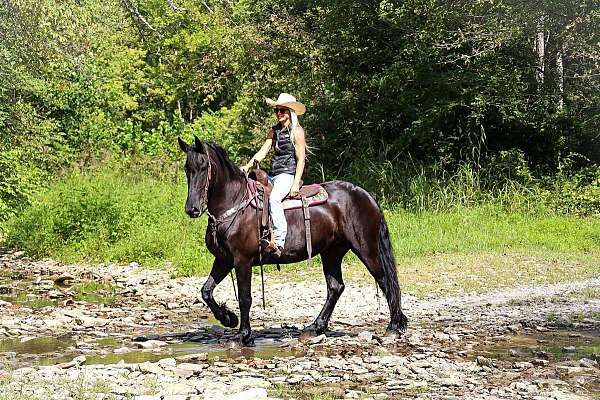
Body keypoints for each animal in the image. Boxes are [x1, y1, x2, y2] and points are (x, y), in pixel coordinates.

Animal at [176, 137, 406, 344]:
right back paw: (314, 328)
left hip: (366, 249)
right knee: (336, 287)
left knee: (385, 281)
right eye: (187, 168)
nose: (192, 209)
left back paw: (394, 327)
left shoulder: (243, 261)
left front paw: (242, 335)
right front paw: (228, 318)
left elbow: (244, 298)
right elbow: (206, 291)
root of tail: (366, 195)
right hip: (332, 252)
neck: (235, 203)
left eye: (204, 166)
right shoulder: (224, 260)